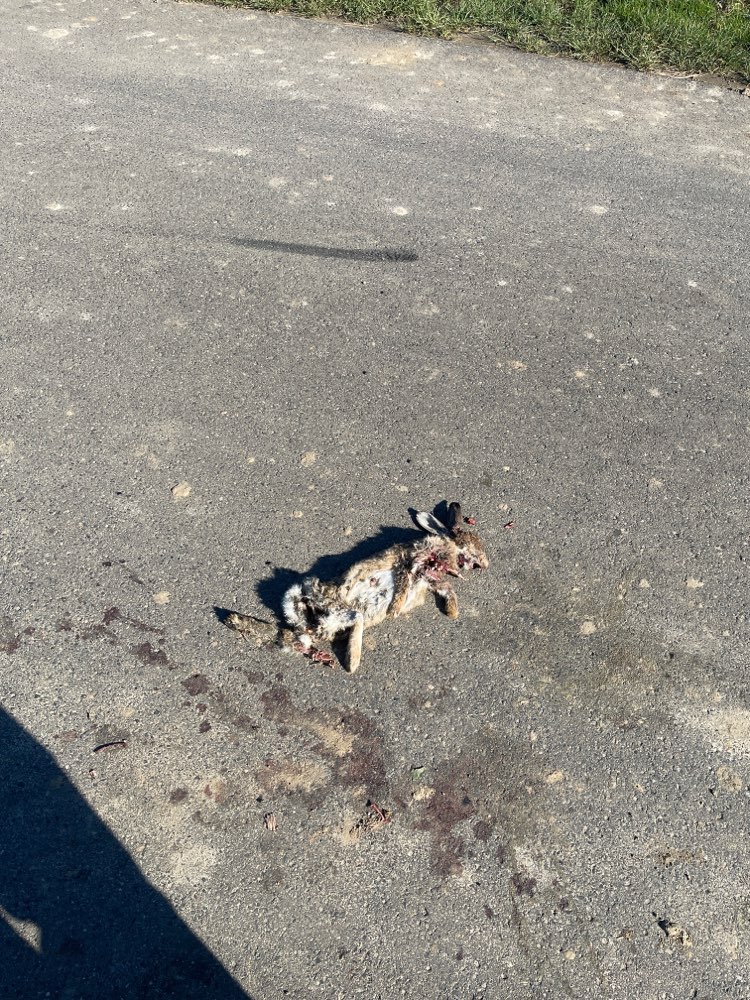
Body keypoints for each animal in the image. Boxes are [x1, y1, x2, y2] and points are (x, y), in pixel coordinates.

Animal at [278, 501, 489, 672]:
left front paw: (452, 612)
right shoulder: (411, 561)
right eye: (471, 542)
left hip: (328, 621)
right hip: (336, 606)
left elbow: (446, 587)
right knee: (355, 618)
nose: (485, 564)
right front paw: (395, 610)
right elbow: (404, 583)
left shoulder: (430, 579)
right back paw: (352, 663)